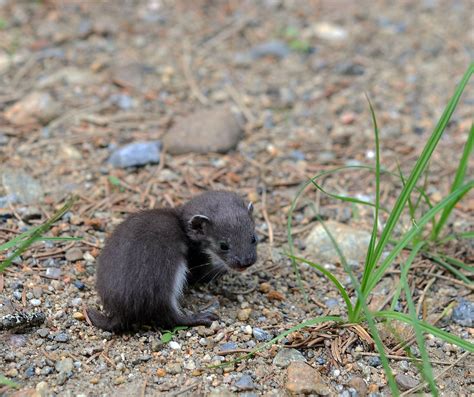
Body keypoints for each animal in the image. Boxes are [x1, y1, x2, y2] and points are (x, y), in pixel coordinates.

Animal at [89, 191, 260, 332]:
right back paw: (201, 317)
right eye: (223, 245)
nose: (245, 262)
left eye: (253, 237)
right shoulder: (195, 262)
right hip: (164, 284)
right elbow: (205, 274)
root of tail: (120, 310)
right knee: (170, 318)